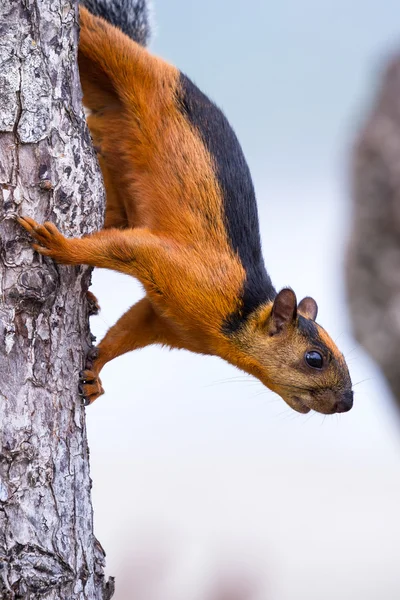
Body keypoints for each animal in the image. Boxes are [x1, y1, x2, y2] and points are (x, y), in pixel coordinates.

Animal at [18, 0, 354, 414]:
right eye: (314, 358)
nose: (347, 403)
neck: (234, 319)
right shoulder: (181, 268)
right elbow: (124, 248)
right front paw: (60, 246)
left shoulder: (164, 321)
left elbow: (126, 331)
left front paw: (95, 373)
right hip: (128, 64)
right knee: (102, 37)